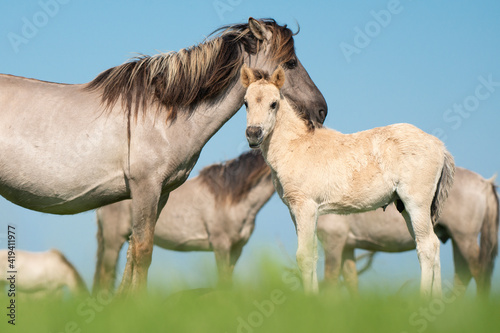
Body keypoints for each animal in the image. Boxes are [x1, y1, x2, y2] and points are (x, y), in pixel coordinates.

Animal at [318, 167, 498, 296]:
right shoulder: (347, 245)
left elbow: (330, 280)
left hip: (465, 238)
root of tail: (484, 183)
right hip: (457, 240)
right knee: (463, 276)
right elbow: (351, 282)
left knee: (479, 273)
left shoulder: (333, 240)